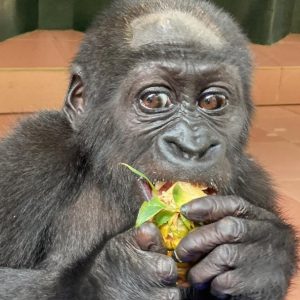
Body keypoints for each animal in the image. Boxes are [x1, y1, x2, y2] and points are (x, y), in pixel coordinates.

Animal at [0, 0, 296, 300]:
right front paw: (113, 279)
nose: (192, 145)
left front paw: (261, 254)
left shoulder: (256, 186)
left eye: (212, 101)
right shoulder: (29, 155)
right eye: (154, 100)